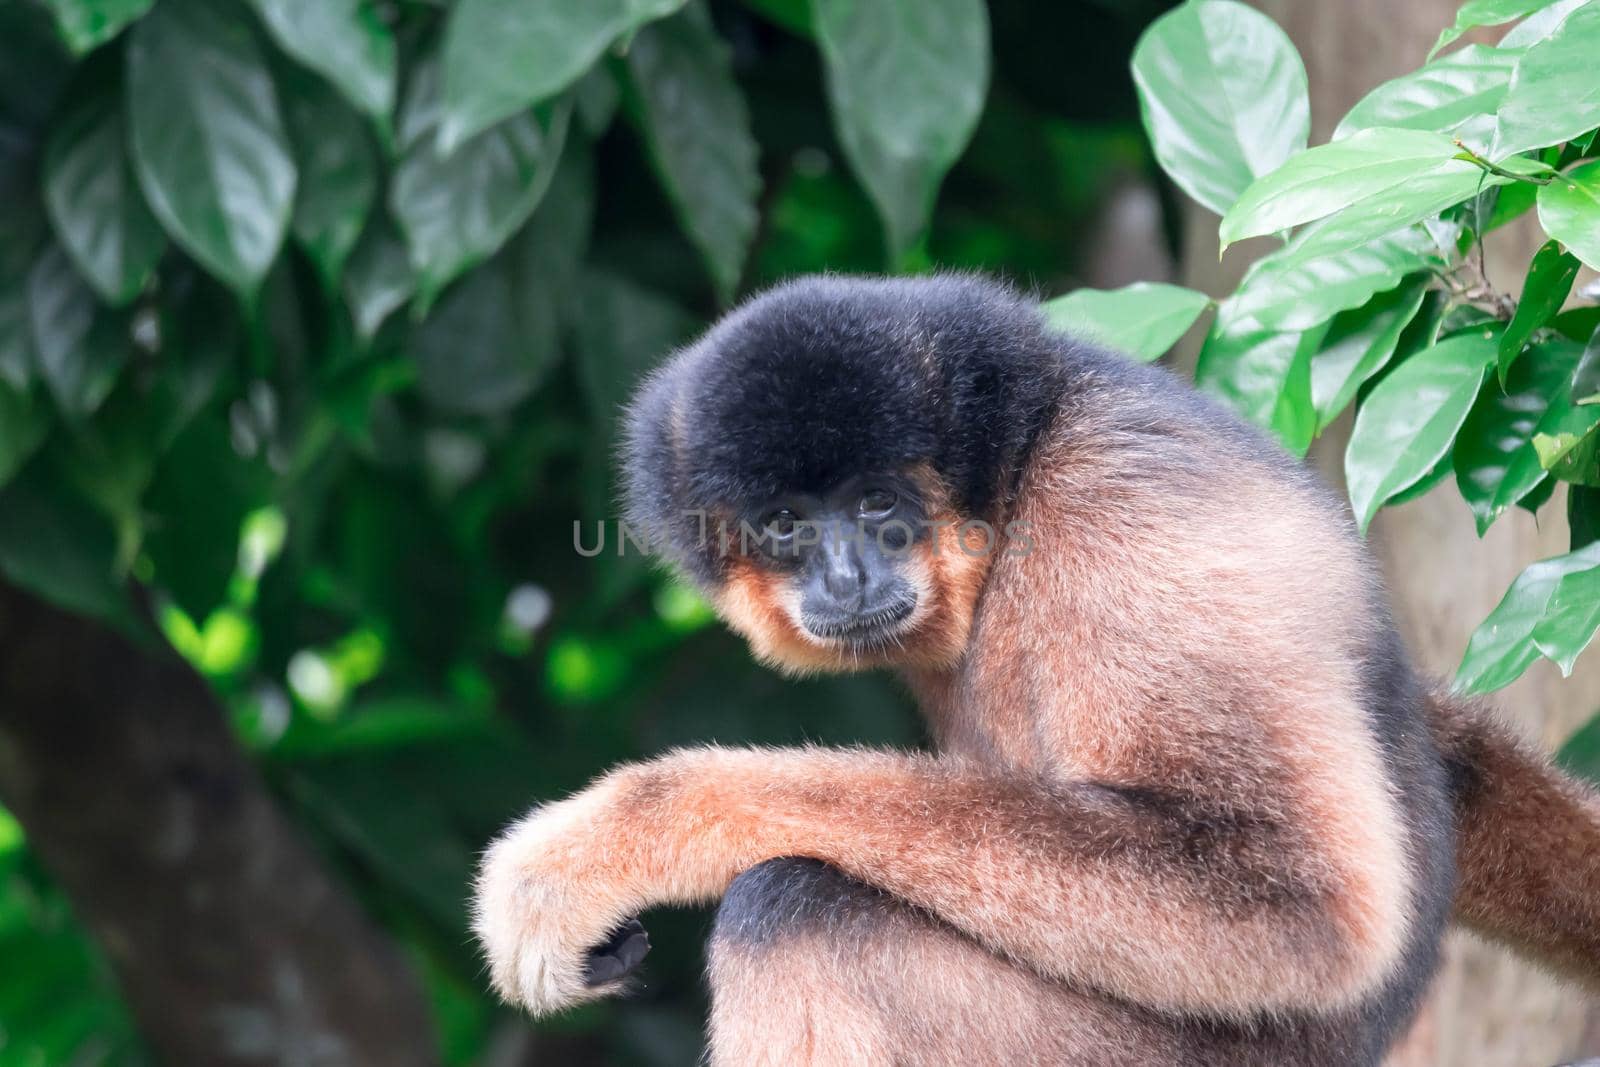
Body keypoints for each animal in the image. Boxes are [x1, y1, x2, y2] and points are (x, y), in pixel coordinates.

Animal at [473, 271, 1600, 1062]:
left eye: (879, 504)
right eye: (788, 523)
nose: (845, 572)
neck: (1018, 480)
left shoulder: (1123, 524)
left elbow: (1291, 894)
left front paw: (614, 838)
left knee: (798, 911)